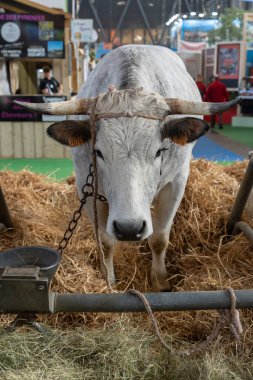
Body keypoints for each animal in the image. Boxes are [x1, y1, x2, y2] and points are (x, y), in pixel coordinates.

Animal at [16, 44, 240, 290]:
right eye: (98, 152)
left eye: (159, 151)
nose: (129, 228)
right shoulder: (85, 184)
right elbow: (105, 242)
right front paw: (108, 280)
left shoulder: (177, 182)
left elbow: (159, 238)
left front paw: (159, 281)